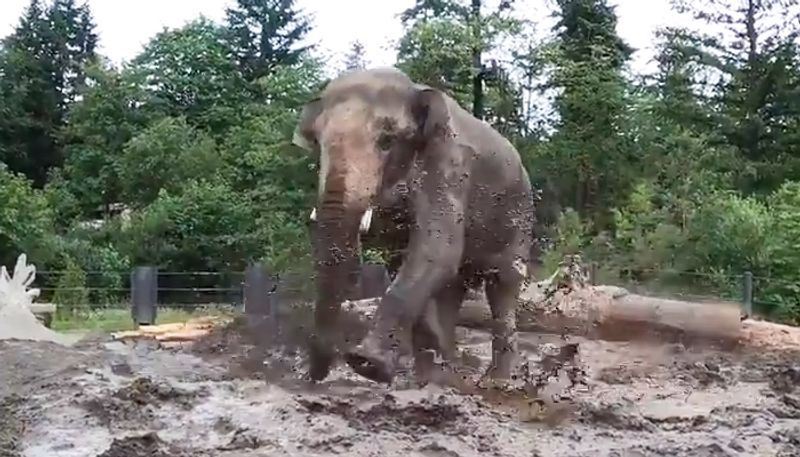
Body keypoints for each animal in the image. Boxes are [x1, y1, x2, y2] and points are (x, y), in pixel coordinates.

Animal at [290, 66, 536, 382]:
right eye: (318, 144)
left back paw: (497, 381)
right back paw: (446, 372)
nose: (314, 375)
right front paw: (422, 373)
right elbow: (407, 258)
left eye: (387, 141)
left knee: (503, 283)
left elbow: (437, 249)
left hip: (520, 214)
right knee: (452, 288)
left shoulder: (450, 164)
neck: (415, 89)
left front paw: (367, 364)